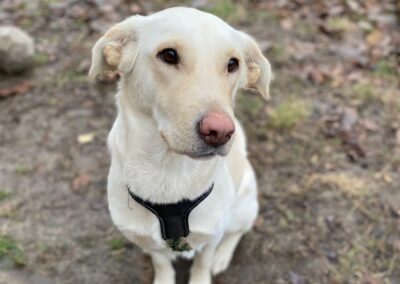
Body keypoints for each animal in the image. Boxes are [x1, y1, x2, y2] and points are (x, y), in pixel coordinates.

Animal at [90, 6, 272, 284]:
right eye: (169, 55)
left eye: (233, 64)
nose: (220, 131)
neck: (168, 172)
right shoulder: (146, 239)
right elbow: (161, 261)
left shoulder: (212, 234)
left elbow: (203, 262)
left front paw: (204, 272)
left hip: (243, 207)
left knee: (236, 232)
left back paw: (222, 257)